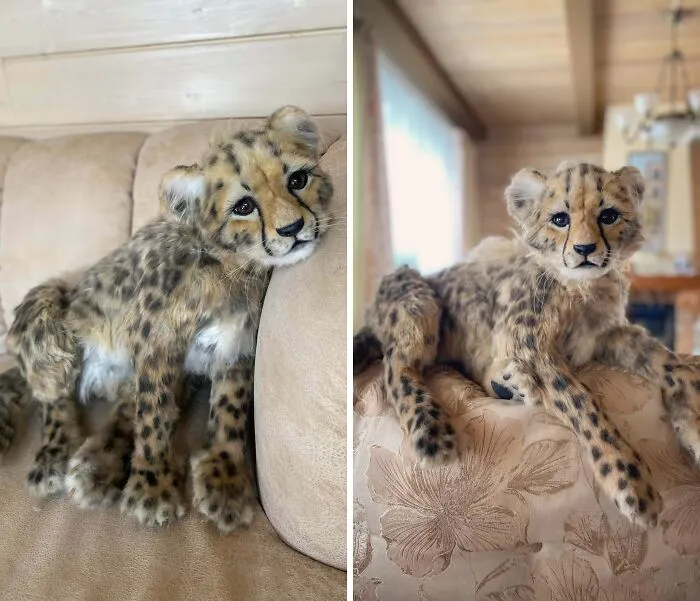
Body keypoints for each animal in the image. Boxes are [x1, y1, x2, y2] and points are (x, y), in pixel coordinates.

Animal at [0, 106, 334, 534]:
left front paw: (224, 479)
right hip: (51, 311)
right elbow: (153, 413)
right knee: (53, 399)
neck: (230, 267)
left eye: (298, 180)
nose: (293, 229)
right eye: (243, 206)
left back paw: (95, 466)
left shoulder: (235, 344)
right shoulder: (156, 342)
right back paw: (54, 459)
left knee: (121, 409)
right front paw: (152, 485)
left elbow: (229, 407)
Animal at [354, 160, 700, 528]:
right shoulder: (533, 348)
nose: (585, 250)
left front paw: (692, 421)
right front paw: (629, 479)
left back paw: (510, 384)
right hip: (419, 301)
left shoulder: (608, 335)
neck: (579, 288)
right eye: (560, 219)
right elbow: (583, 403)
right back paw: (432, 431)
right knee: (397, 365)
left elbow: (667, 360)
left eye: (608, 216)